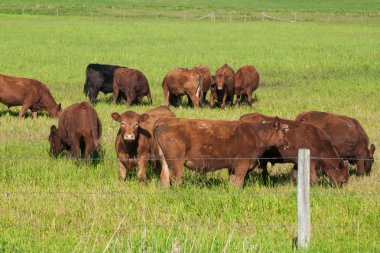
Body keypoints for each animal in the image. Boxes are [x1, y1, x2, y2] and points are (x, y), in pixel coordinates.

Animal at [154, 116, 288, 188]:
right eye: (283, 132)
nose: (287, 144)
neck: (256, 135)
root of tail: (164, 121)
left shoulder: (233, 167)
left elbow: (233, 182)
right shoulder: (242, 164)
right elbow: (239, 182)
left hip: (165, 161)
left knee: (164, 178)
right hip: (176, 162)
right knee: (176, 179)